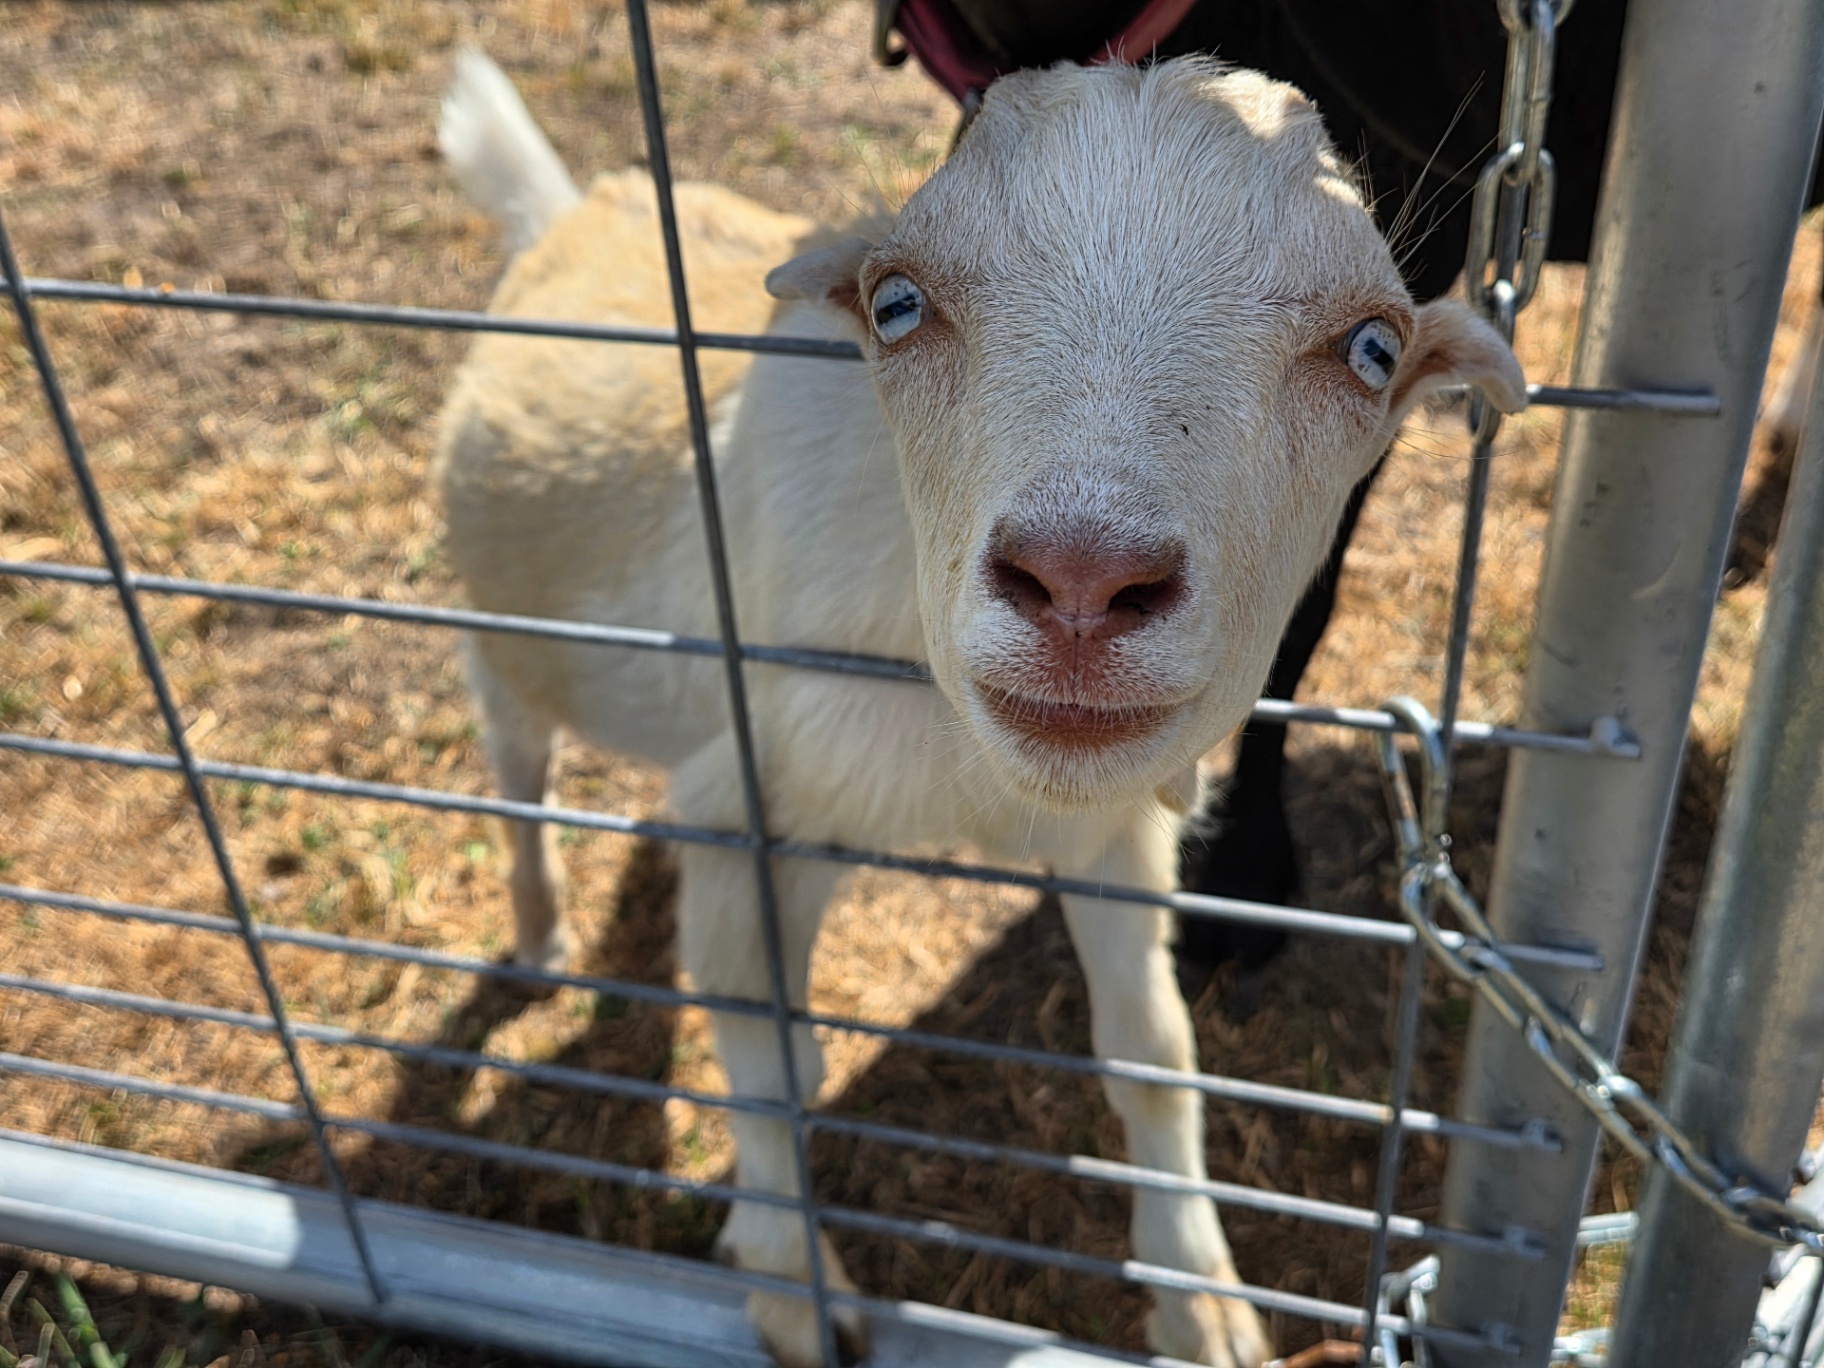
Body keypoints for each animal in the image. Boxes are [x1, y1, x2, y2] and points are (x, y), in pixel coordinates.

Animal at [435, 49, 1524, 1368]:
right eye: (898, 304)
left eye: (1372, 347)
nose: (1082, 581)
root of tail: (571, 212)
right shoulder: (756, 803)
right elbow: (759, 1044)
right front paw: (797, 1287)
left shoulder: (1112, 836)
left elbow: (1154, 1056)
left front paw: (1201, 1300)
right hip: (507, 644)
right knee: (515, 764)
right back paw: (540, 928)